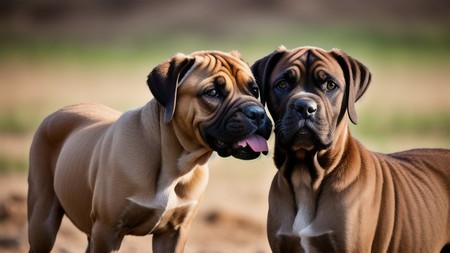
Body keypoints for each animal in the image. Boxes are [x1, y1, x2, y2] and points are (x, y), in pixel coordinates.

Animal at [29, 50, 274, 252]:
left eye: (254, 90)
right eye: (212, 92)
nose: (257, 113)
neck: (176, 165)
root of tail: (62, 110)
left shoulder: (174, 233)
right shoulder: (108, 230)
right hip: (43, 219)